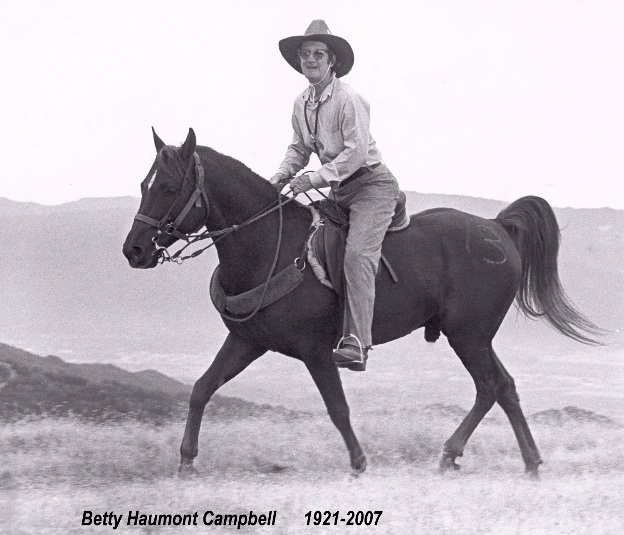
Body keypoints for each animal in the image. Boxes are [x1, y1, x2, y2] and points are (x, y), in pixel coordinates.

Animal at [120, 129, 600, 478]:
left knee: (495, 386)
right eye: (144, 184)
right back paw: (483, 457)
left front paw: (358, 462)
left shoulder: (317, 351)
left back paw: (500, 458)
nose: (134, 250)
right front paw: (186, 459)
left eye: (168, 187)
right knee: (496, 388)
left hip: (470, 335)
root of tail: (497, 227)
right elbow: (201, 389)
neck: (270, 244)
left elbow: (337, 408)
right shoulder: (247, 341)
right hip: (469, 336)